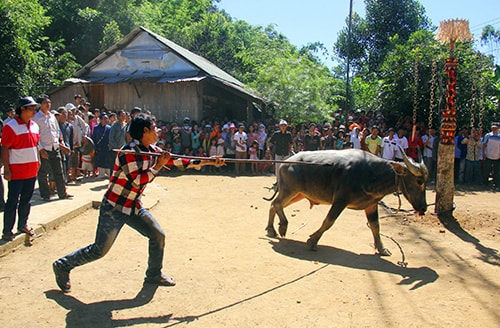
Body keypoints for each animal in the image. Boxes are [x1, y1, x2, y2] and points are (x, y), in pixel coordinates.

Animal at [264, 147, 428, 255]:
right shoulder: (340, 200)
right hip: (289, 190)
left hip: (298, 194)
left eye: (425, 181)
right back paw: (282, 226)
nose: (423, 208)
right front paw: (312, 241)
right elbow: (328, 222)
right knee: (277, 204)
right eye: (419, 181)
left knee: (273, 205)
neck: (372, 173)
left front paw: (382, 249)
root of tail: (285, 162)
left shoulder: (371, 204)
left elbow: (375, 226)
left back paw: (272, 229)